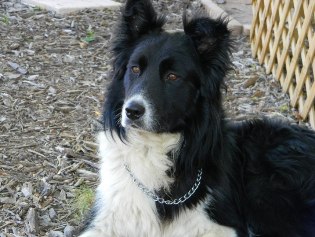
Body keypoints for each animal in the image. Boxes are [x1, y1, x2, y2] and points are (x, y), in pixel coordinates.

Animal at [79, 0, 315, 236]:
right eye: (135, 69)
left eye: (172, 76)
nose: (132, 111)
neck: (154, 147)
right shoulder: (107, 217)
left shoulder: (219, 225)